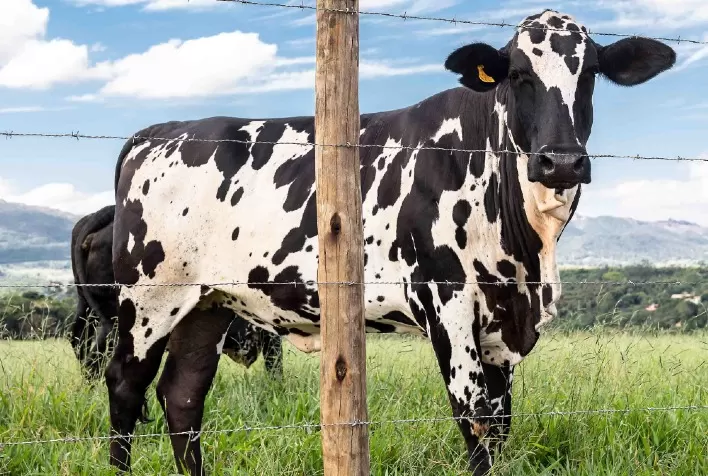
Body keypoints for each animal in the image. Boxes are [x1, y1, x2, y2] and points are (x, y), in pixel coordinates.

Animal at [105, 10, 675, 475]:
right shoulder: (446, 303)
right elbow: (474, 420)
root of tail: (158, 133)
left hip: (207, 304)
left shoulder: (503, 327)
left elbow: (500, 424)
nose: (561, 161)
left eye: (591, 72)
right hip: (147, 300)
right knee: (126, 386)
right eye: (517, 74)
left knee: (182, 396)